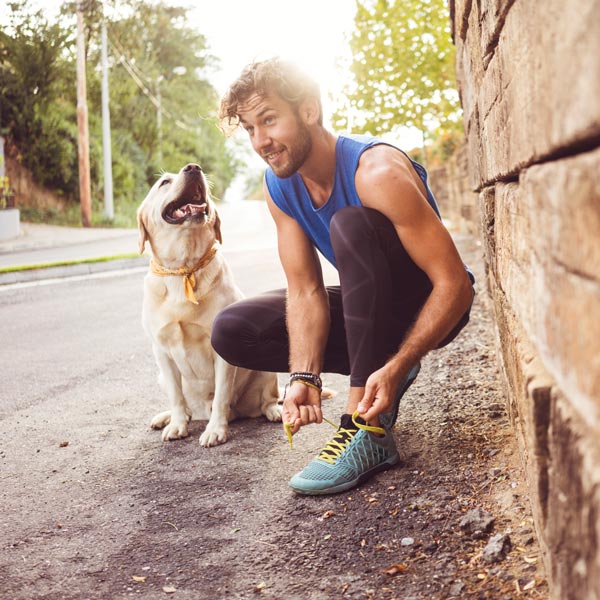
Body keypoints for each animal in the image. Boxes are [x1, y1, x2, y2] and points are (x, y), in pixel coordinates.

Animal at [136, 163, 282, 446]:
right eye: (164, 182)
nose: (193, 168)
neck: (184, 268)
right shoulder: (161, 351)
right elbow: (176, 396)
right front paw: (177, 424)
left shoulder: (221, 352)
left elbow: (222, 395)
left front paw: (215, 430)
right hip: (161, 376)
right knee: (185, 404)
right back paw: (167, 417)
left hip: (264, 370)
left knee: (268, 398)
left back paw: (274, 411)